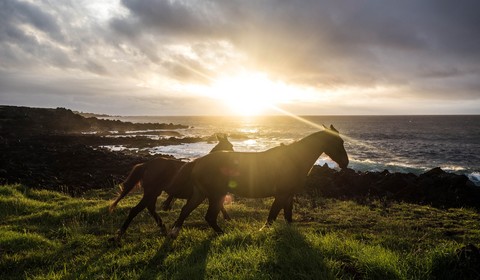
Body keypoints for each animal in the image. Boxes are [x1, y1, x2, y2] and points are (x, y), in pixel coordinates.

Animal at [169, 126, 348, 237]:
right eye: (338, 142)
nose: (345, 163)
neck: (294, 158)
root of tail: (198, 161)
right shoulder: (281, 195)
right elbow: (272, 216)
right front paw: (262, 232)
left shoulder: (289, 195)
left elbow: (288, 216)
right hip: (216, 195)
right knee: (209, 217)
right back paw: (223, 234)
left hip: (200, 193)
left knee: (185, 210)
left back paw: (174, 233)